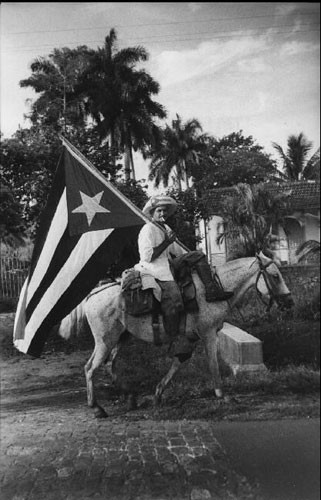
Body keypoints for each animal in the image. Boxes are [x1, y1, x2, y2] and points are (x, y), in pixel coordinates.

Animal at [57, 250, 292, 418]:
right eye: (275, 276)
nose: (289, 302)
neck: (215, 289)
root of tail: (93, 294)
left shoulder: (192, 337)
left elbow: (179, 361)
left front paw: (158, 393)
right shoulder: (208, 334)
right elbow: (213, 364)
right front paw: (222, 395)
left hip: (121, 338)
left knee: (109, 365)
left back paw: (130, 397)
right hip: (105, 340)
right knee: (90, 368)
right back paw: (97, 408)